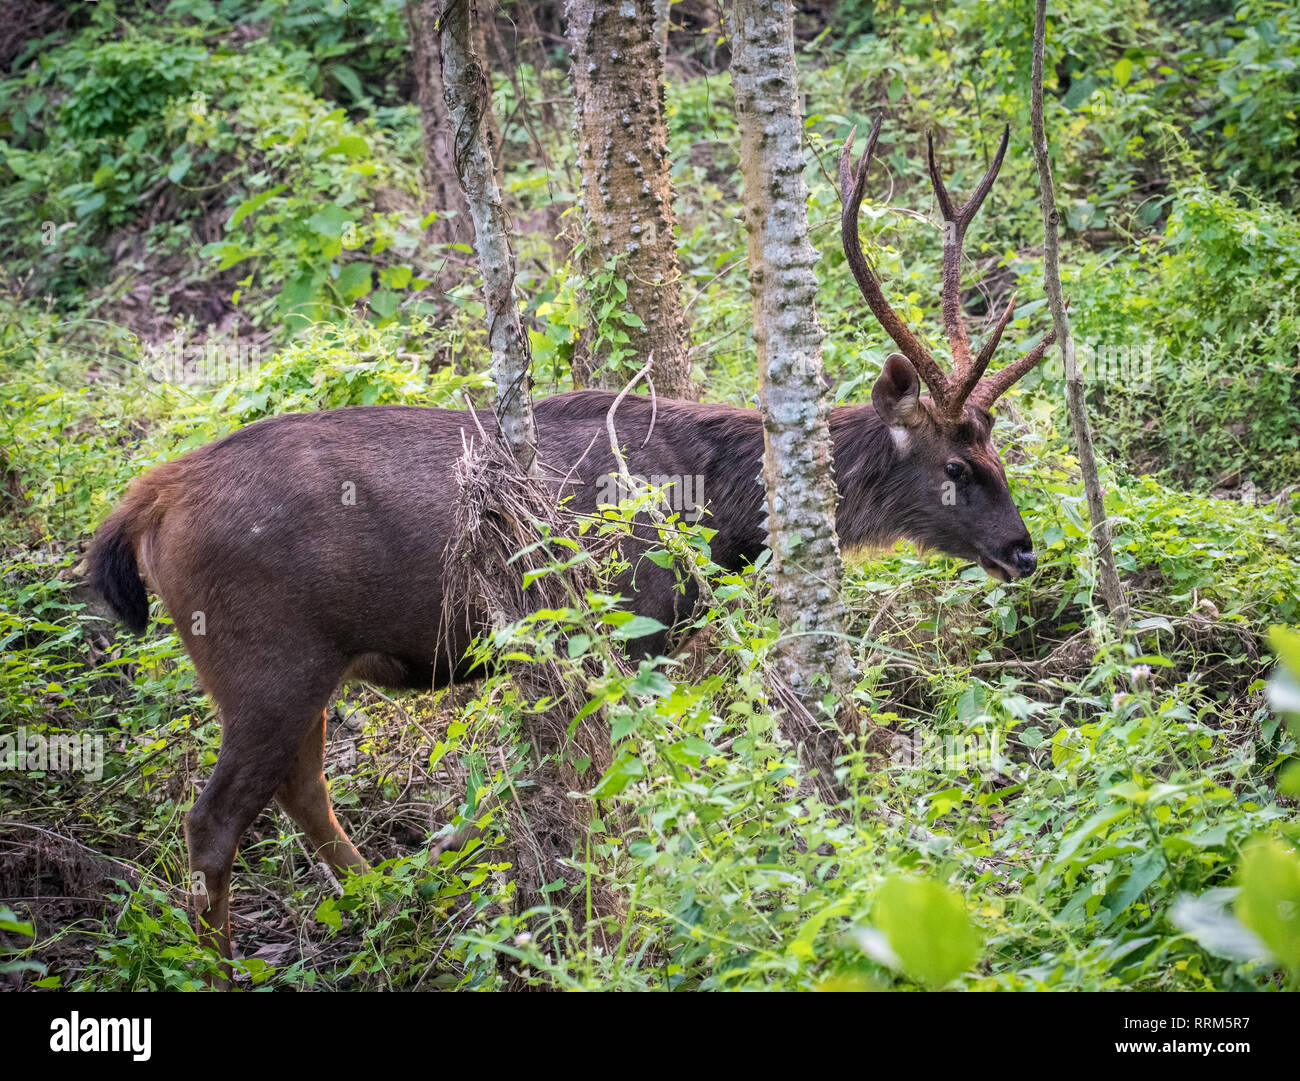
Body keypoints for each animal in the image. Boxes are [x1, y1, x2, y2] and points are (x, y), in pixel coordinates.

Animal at [83, 120, 1055, 961]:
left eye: (998, 445)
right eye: (957, 463)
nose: (1024, 549)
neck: (718, 500)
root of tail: (147, 504)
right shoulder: (634, 621)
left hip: (300, 667)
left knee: (302, 789)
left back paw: (386, 902)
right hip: (263, 659)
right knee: (215, 820)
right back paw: (224, 959)